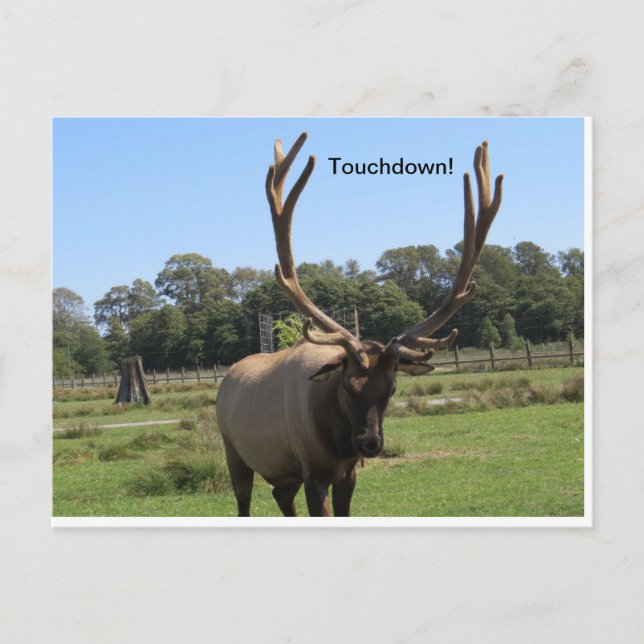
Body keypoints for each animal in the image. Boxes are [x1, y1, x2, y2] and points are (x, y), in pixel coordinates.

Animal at [215, 132, 503, 517]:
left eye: (392, 388)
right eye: (348, 385)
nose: (370, 444)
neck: (337, 444)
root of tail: (227, 379)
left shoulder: (346, 474)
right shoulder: (312, 472)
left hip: (282, 472)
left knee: (280, 496)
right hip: (234, 452)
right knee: (244, 502)